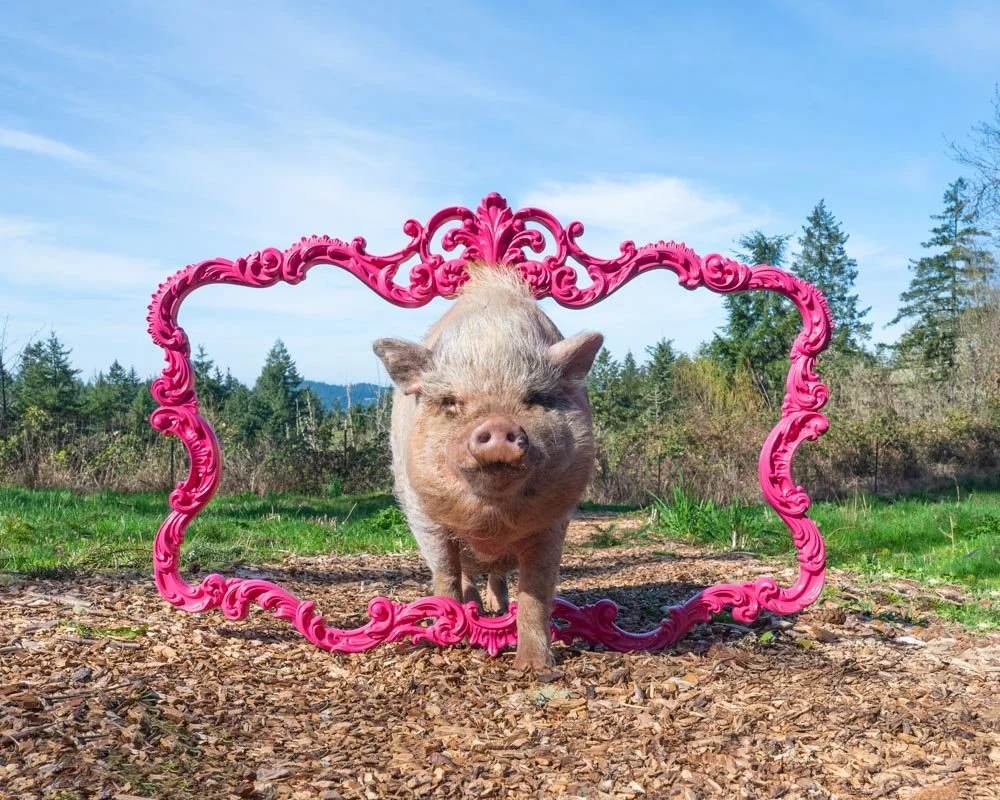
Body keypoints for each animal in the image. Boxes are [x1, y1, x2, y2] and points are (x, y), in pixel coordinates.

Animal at [373, 264, 603, 670]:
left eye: (535, 398)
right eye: (450, 402)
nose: (498, 425)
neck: (491, 525)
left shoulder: (554, 523)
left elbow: (537, 592)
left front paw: (536, 669)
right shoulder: (423, 516)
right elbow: (445, 575)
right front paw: (446, 639)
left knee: (498, 577)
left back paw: (497, 609)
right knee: (467, 576)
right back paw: (476, 611)